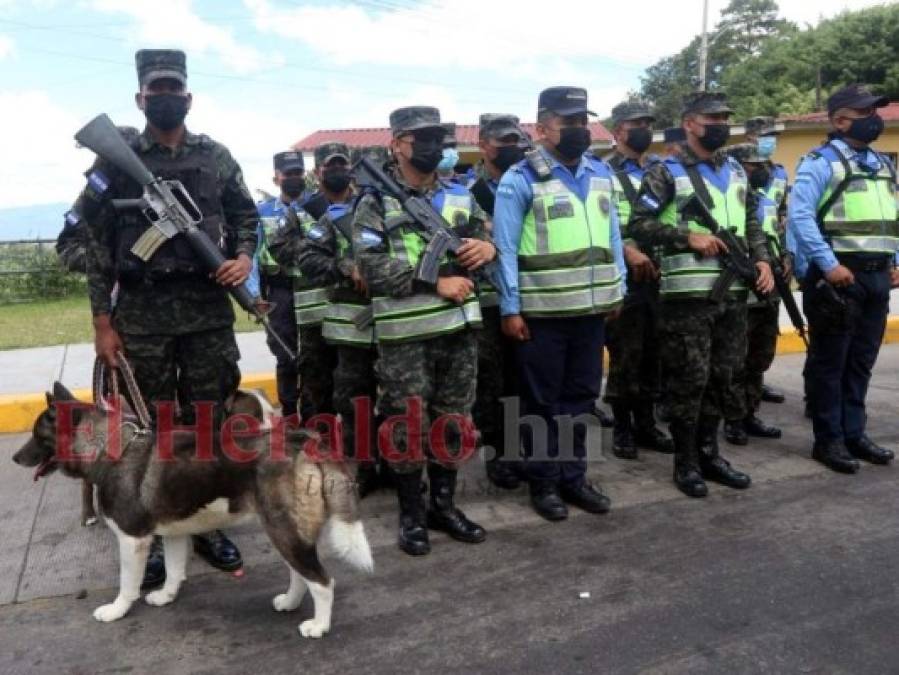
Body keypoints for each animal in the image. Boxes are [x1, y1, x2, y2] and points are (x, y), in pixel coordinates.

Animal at [11, 380, 370, 640]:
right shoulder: (172, 533)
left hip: (285, 530)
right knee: (300, 572)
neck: (111, 448)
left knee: (322, 582)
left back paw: (319, 626)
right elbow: (173, 571)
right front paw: (166, 596)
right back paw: (291, 603)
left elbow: (127, 584)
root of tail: (302, 440)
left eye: (37, 435)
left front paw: (116, 610)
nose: (15, 458)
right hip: (285, 530)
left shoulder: (132, 540)